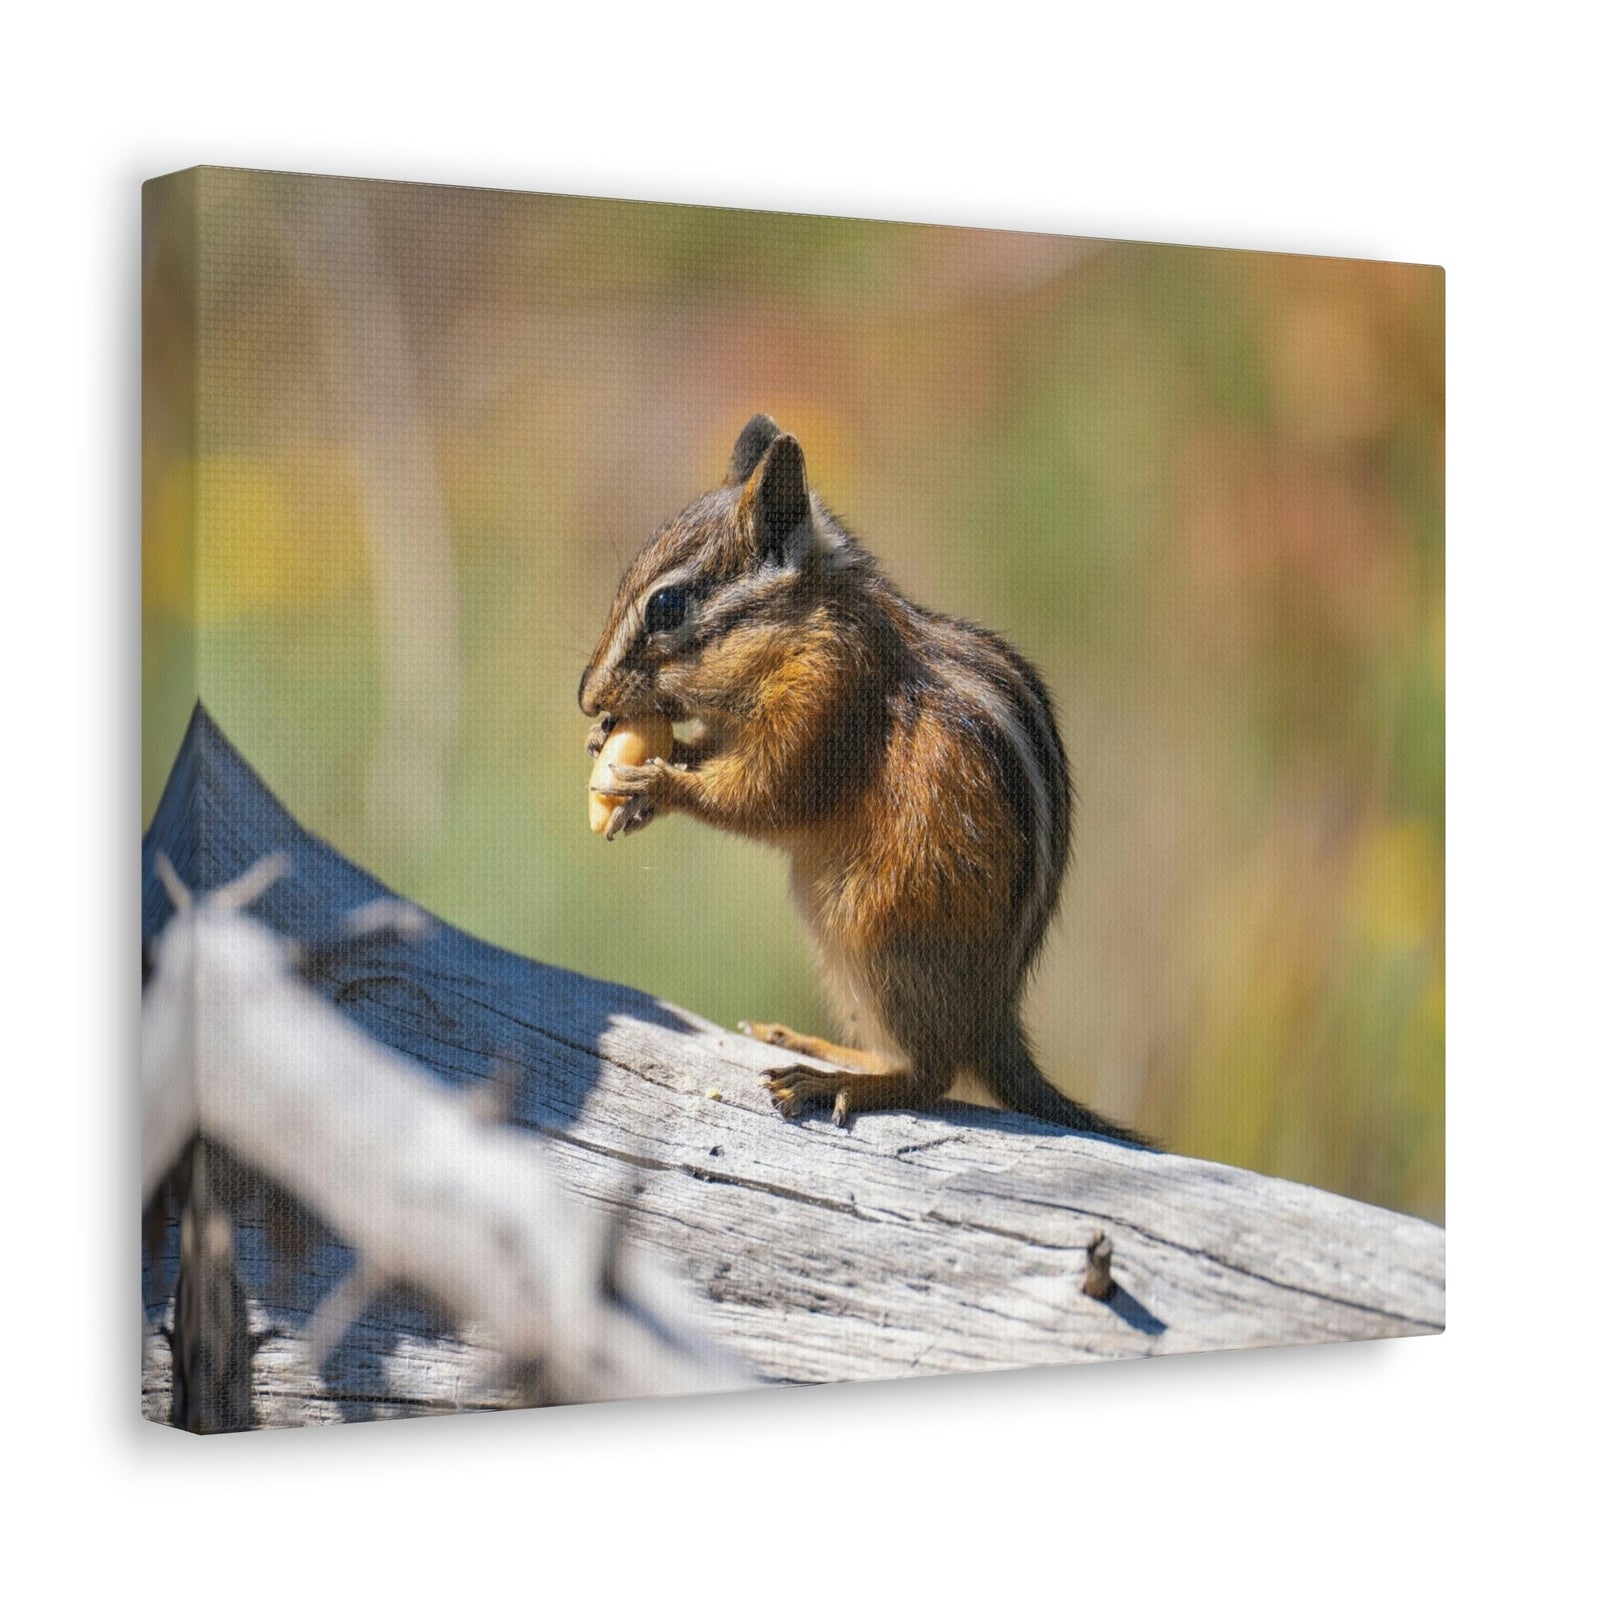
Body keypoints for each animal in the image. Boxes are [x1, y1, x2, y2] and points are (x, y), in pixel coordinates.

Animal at [580, 414, 1147, 1145]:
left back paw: (831, 1082)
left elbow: (767, 797)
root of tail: (993, 1018)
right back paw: (810, 1045)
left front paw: (656, 786)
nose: (587, 698)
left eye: (668, 606)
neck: (807, 626)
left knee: (931, 1075)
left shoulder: (828, 702)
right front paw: (625, 750)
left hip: (881, 936)